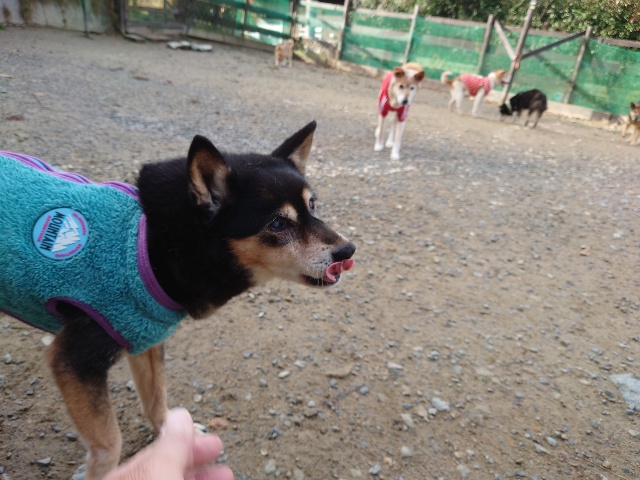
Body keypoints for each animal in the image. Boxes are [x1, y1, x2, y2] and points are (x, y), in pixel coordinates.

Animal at [0, 121, 355, 480]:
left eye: (312, 206)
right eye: (278, 223)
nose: (347, 250)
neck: (151, 244)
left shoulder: (144, 339)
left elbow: (156, 397)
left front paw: (171, 436)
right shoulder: (76, 360)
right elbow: (108, 443)